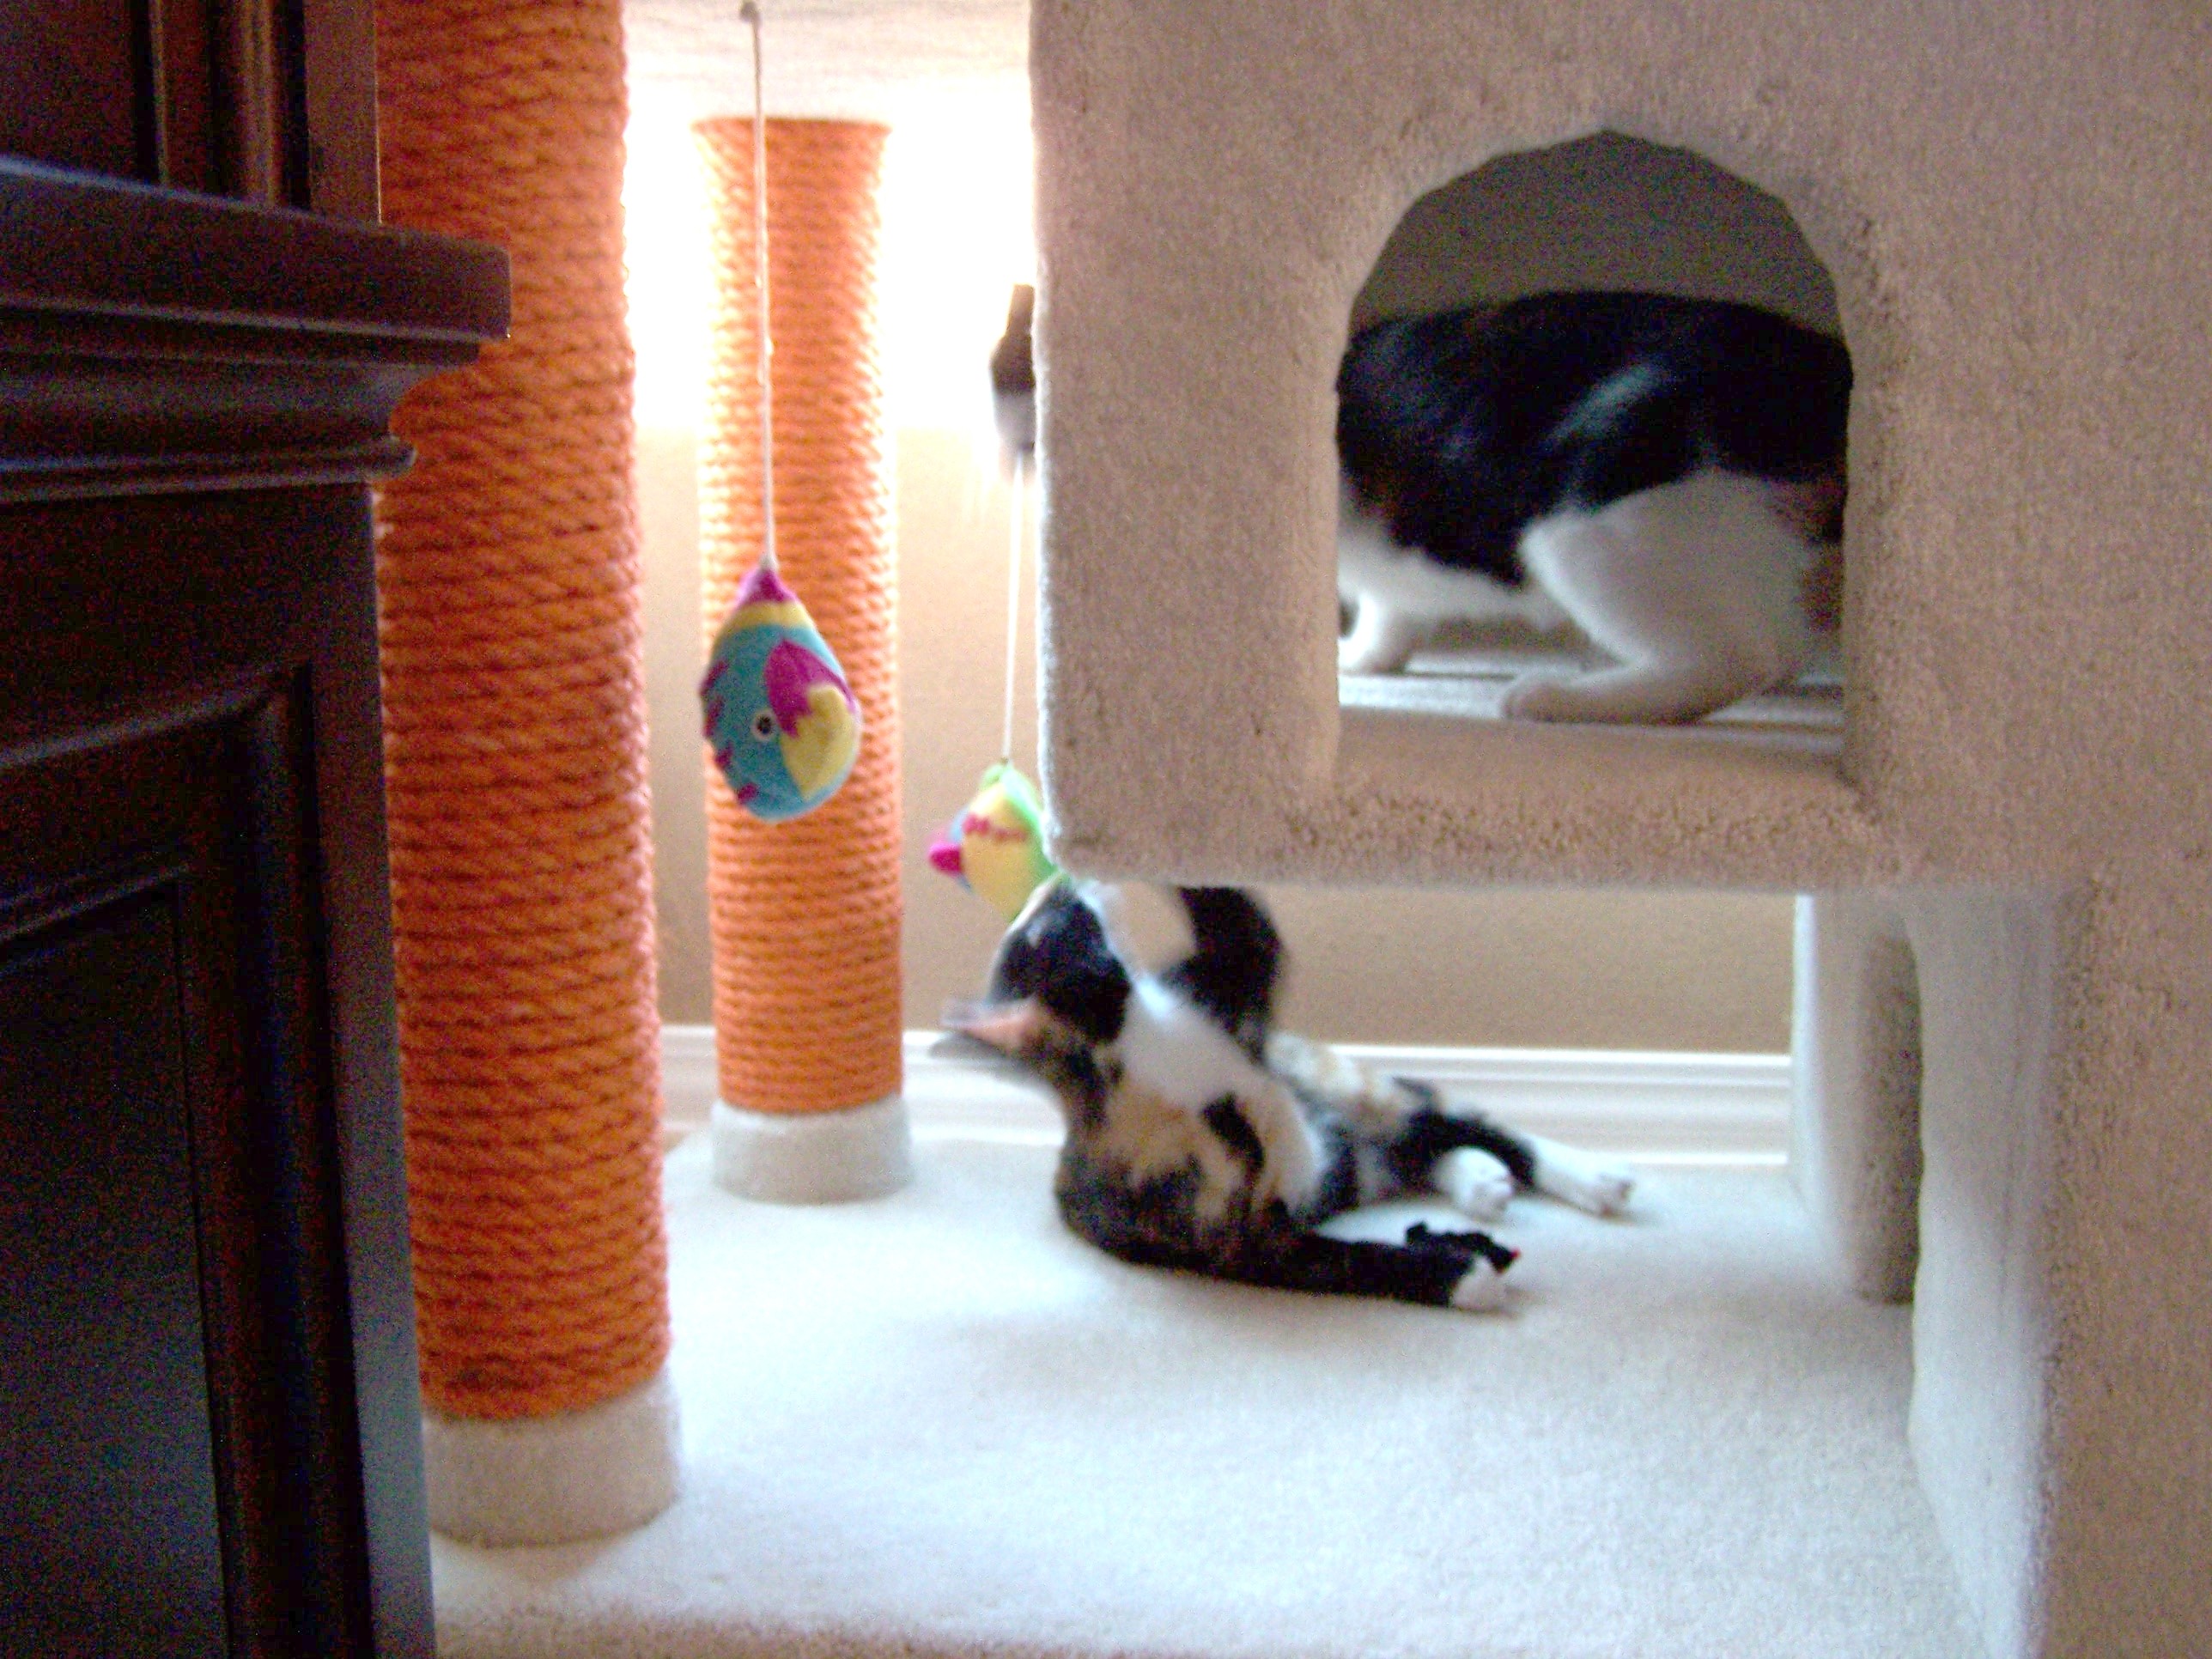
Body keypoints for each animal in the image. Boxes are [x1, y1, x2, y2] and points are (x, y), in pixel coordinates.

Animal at [946, 878, 1634, 1314]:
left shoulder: (1222, 990)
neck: (1146, 1036)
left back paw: (1583, 1174)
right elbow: (1345, 1262)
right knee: (1421, 1145)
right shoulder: (1240, 1241)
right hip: (1351, 1149)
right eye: (1038, 933)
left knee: (1459, 1124)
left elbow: (1243, 921)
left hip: (1342, 1085)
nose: (1056, 883)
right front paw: (1461, 1279)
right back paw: (1480, 1180)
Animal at [990, 284, 1850, 725]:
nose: (1003, 456)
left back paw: (1558, 698)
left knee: (1738, 658)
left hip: (1599, 523)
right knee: (1782, 644)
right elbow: (1388, 606)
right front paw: (1365, 659)